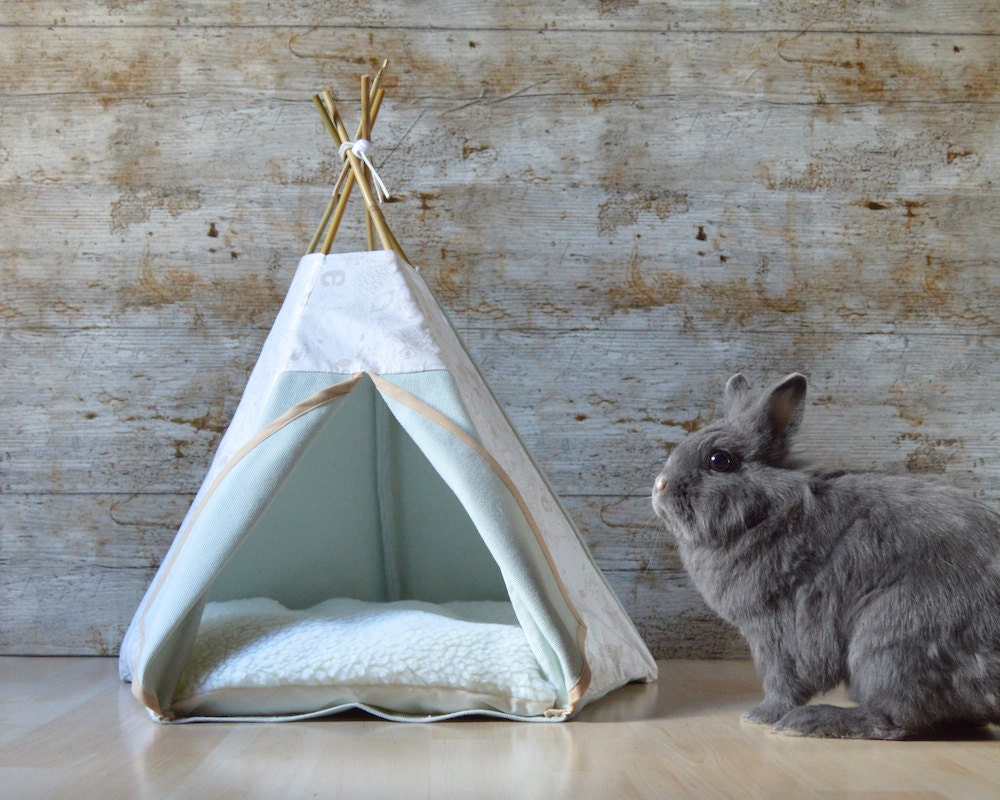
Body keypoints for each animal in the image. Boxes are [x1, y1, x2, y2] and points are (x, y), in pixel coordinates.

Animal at [651, 372, 1000, 739]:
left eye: (720, 460)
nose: (660, 485)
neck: (764, 512)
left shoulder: (779, 632)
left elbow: (783, 682)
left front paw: (761, 716)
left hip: (889, 640)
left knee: (892, 719)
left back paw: (809, 721)